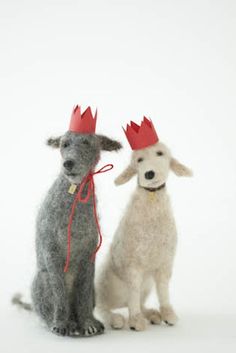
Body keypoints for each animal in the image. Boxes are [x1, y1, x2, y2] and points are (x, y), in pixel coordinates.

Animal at [13, 106, 121, 336]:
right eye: (64, 144)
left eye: (87, 143)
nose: (68, 163)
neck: (74, 195)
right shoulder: (51, 251)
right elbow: (59, 293)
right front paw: (61, 324)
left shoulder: (89, 257)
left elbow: (83, 295)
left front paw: (88, 323)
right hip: (41, 281)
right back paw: (67, 322)